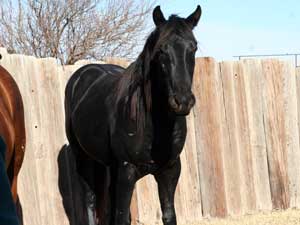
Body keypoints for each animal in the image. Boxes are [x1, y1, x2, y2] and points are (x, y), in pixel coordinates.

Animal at [65, 4, 202, 225]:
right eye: (161, 50)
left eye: (193, 48)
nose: (182, 101)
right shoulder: (127, 171)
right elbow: (121, 217)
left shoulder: (170, 171)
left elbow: (168, 215)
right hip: (83, 158)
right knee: (90, 199)